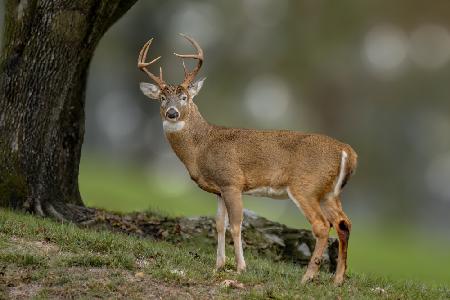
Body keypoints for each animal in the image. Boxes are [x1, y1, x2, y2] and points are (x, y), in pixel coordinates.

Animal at [139, 34, 356, 284]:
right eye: (162, 98)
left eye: (184, 97)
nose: (172, 113)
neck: (202, 146)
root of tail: (347, 151)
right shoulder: (219, 189)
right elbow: (219, 225)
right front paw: (219, 265)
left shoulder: (232, 181)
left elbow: (235, 225)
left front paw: (241, 267)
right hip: (328, 192)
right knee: (343, 223)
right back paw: (337, 280)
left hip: (306, 186)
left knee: (321, 226)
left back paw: (307, 277)